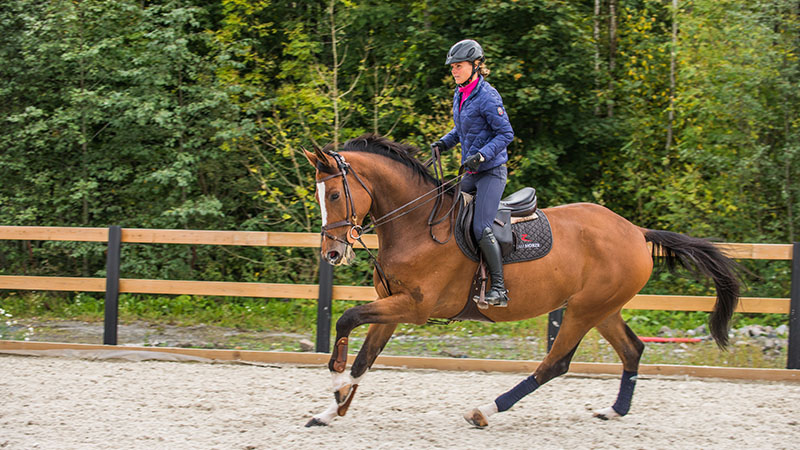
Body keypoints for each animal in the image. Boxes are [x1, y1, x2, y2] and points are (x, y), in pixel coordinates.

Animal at [304, 133, 740, 426]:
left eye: (336, 196)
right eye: (319, 197)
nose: (332, 253)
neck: (418, 225)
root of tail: (635, 231)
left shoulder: (414, 307)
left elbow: (346, 320)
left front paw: (335, 375)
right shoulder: (392, 306)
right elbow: (366, 358)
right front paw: (332, 409)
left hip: (582, 311)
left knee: (554, 364)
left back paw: (485, 410)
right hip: (603, 308)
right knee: (632, 350)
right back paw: (614, 410)